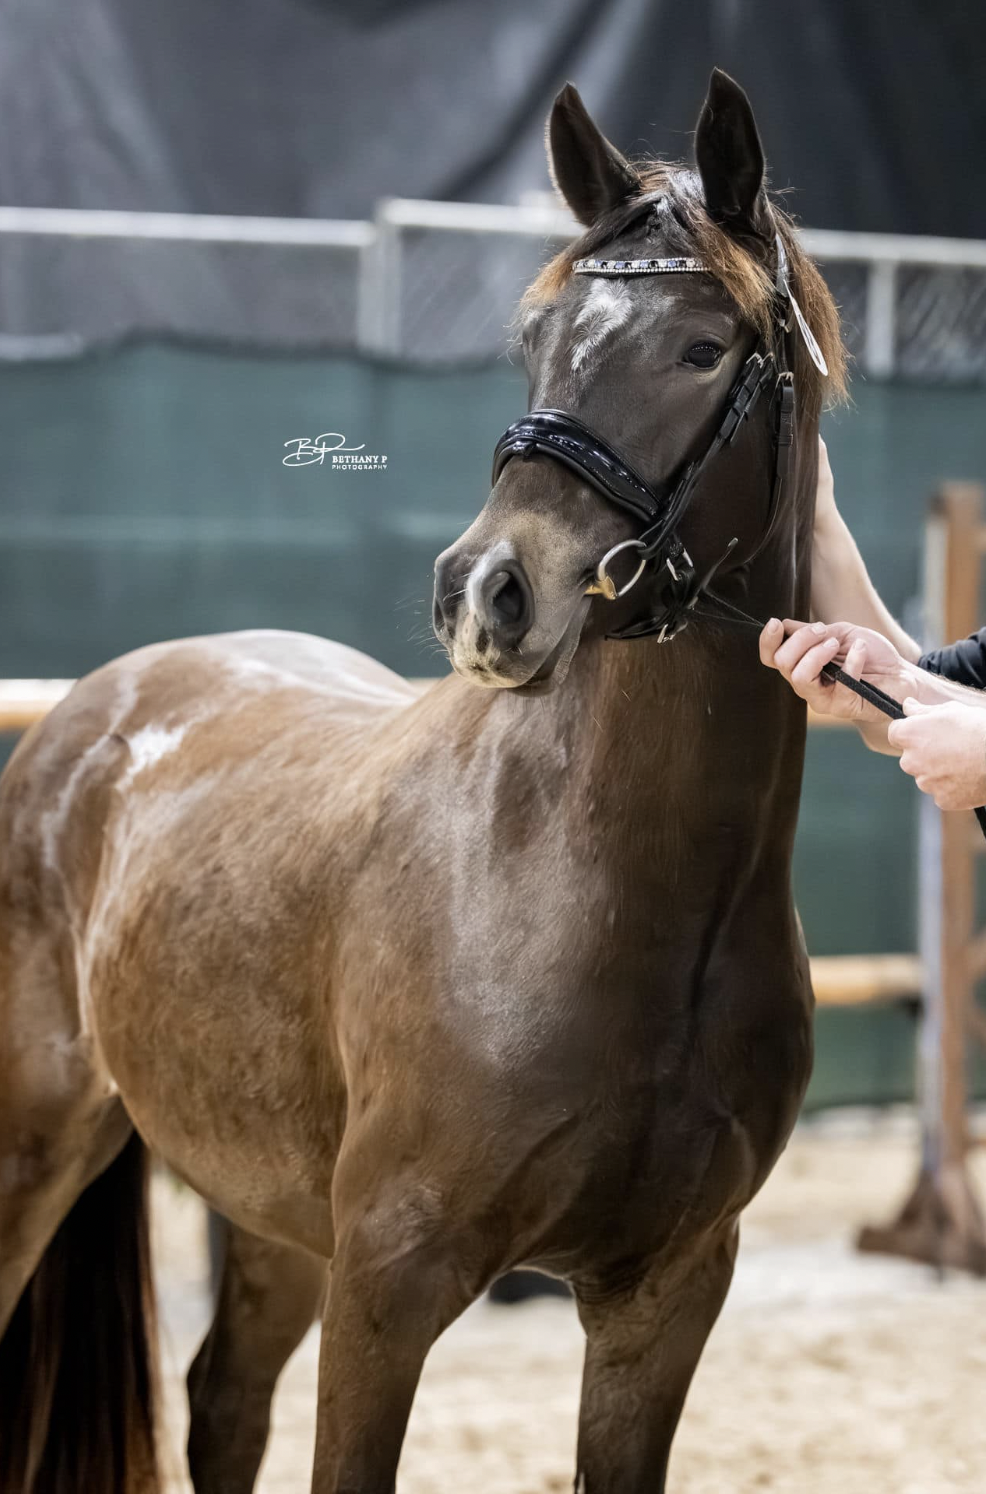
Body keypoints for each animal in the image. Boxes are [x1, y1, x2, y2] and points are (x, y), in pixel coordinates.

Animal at [0, 68, 844, 1494]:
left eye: (700, 348)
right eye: (535, 338)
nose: (487, 593)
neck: (599, 891)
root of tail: (90, 713)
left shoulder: (661, 1296)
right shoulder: (388, 1283)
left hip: (270, 1207)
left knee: (223, 1401)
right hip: (36, 1148)